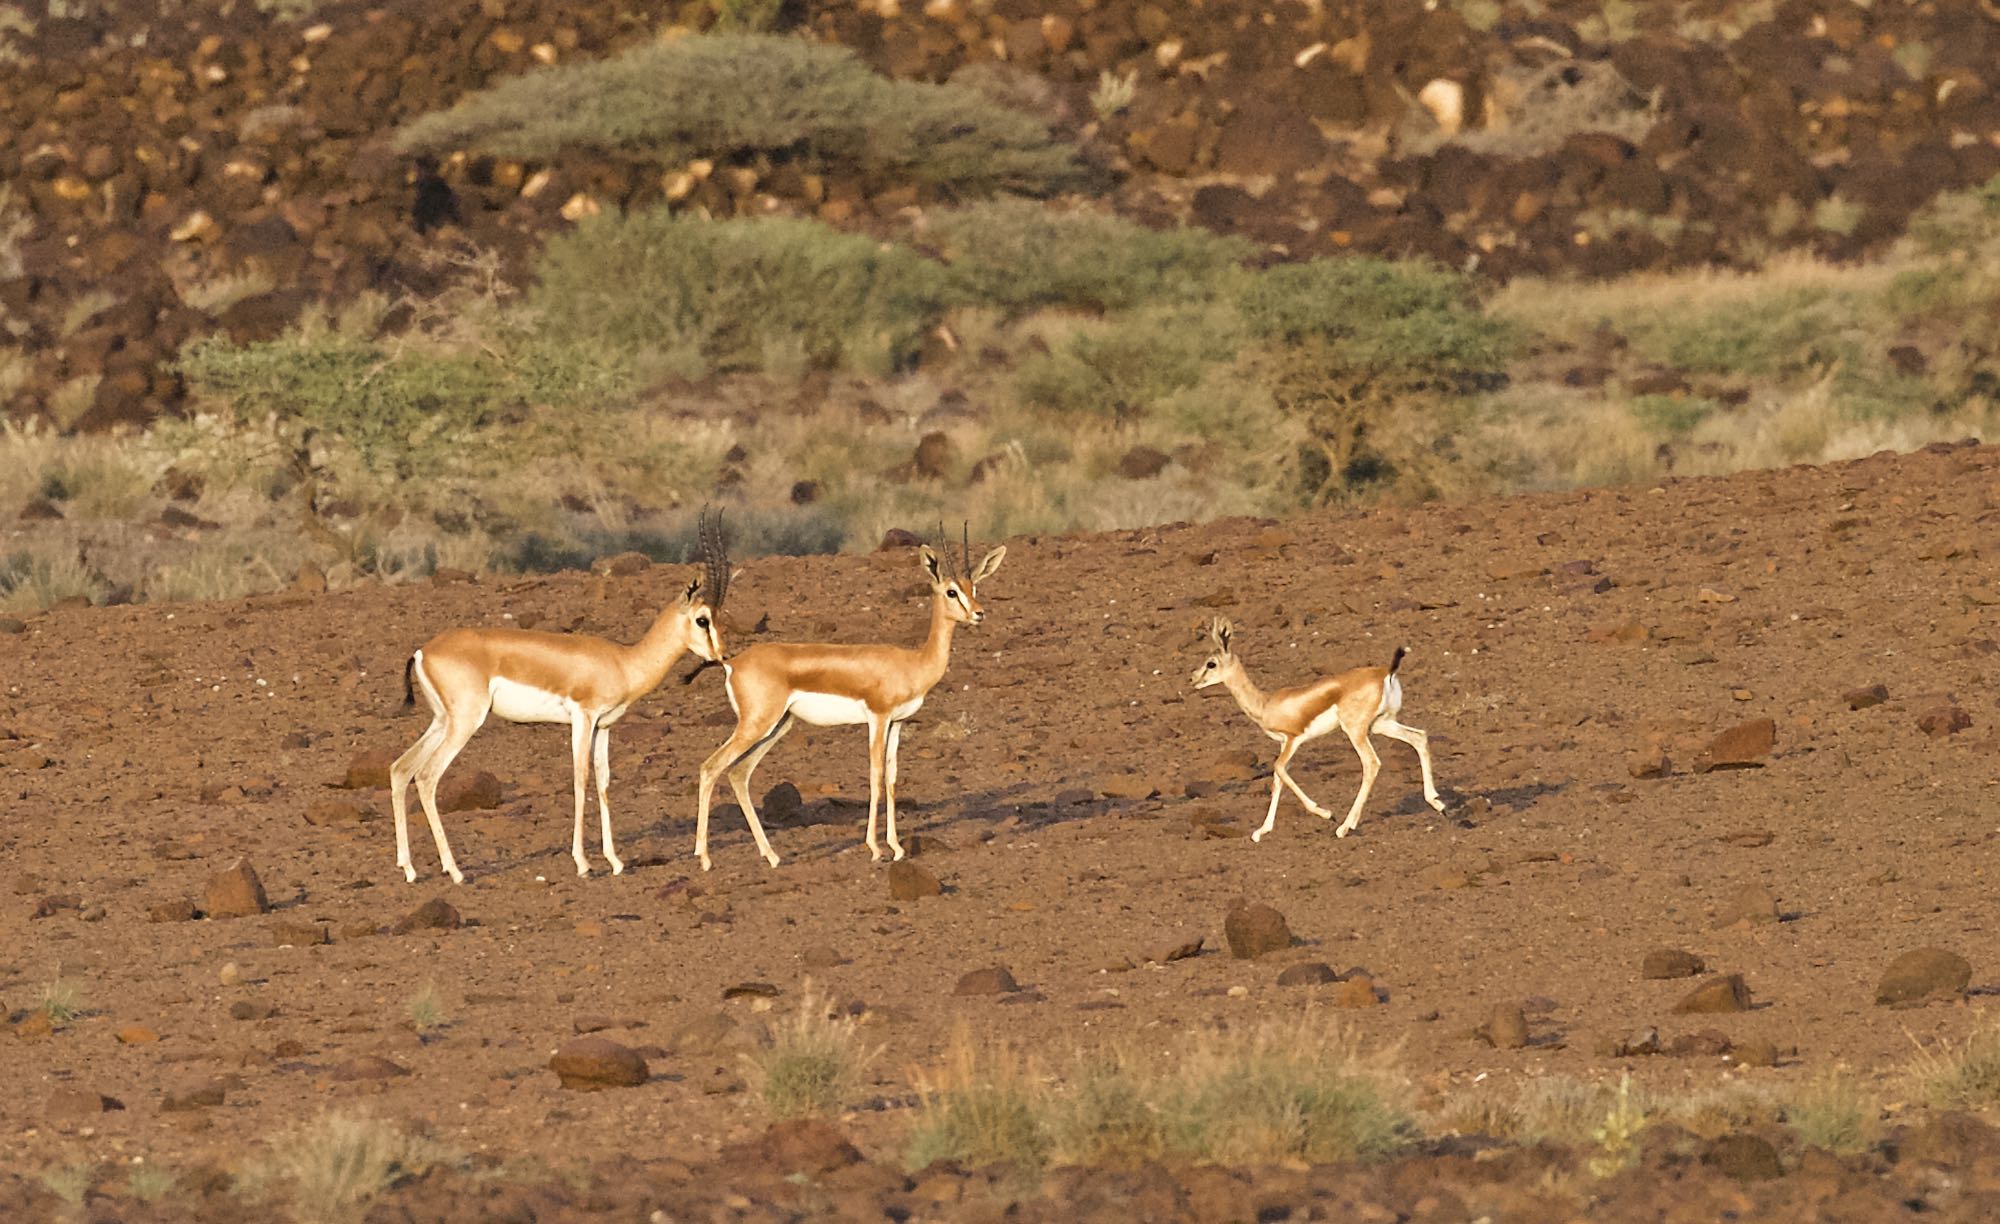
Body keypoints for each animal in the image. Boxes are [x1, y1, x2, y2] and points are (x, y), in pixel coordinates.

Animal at [389, 510, 732, 884]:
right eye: (702, 620)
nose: (722, 656)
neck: (623, 662)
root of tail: (423, 651)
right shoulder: (583, 717)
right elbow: (580, 779)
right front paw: (583, 863)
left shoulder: (604, 726)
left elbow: (603, 782)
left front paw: (615, 861)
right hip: (465, 721)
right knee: (427, 776)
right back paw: (455, 871)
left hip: (442, 721)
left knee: (400, 768)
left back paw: (409, 869)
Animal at [692, 533, 1006, 870]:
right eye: (951, 591)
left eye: (974, 587)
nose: (979, 613)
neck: (913, 663)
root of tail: (732, 663)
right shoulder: (878, 718)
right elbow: (875, 776)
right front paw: (875, 848)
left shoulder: (897, 722)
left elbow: (892, 778)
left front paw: (897, 847)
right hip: (757, 724)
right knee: (710, 767)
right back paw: (705, 858)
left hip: (778, 725)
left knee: (738, 773)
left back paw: (772, 855)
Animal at [1191, 618, 1446, 841]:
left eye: (1211, 663)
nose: (1193, 679)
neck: (1266, 704)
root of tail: (1386, 672)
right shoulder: (1283, 744)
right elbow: (1277, 781)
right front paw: (1261, 832)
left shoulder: (1293, 739)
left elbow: (1279, 768)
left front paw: (1325, 813)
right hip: (1381, 724)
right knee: (1419, 737)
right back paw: (1437, 803)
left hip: (1356, 730)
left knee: (1371, 763)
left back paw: (1344, 826)